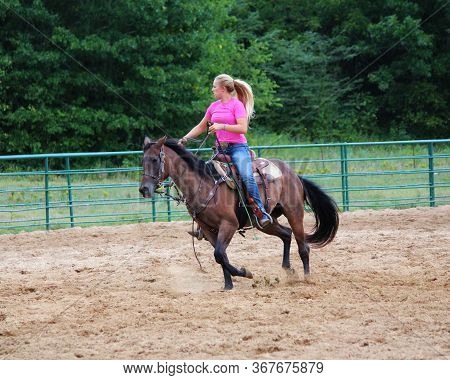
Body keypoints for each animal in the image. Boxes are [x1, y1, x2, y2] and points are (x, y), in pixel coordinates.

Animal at [139, 135, 340, 290]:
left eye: (155, 160)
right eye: (142, 161)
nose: (143, 189)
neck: (204, 184)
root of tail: (293, 174)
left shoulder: (229, 224)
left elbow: (219, 254)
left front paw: (245, 272)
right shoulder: (208, 229)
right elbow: (221, 256)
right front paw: (229, 285)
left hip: (294, 212)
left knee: (303, 246)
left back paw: (307, 278)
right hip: (265, 221)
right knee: (286, 234)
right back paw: (288, 270)